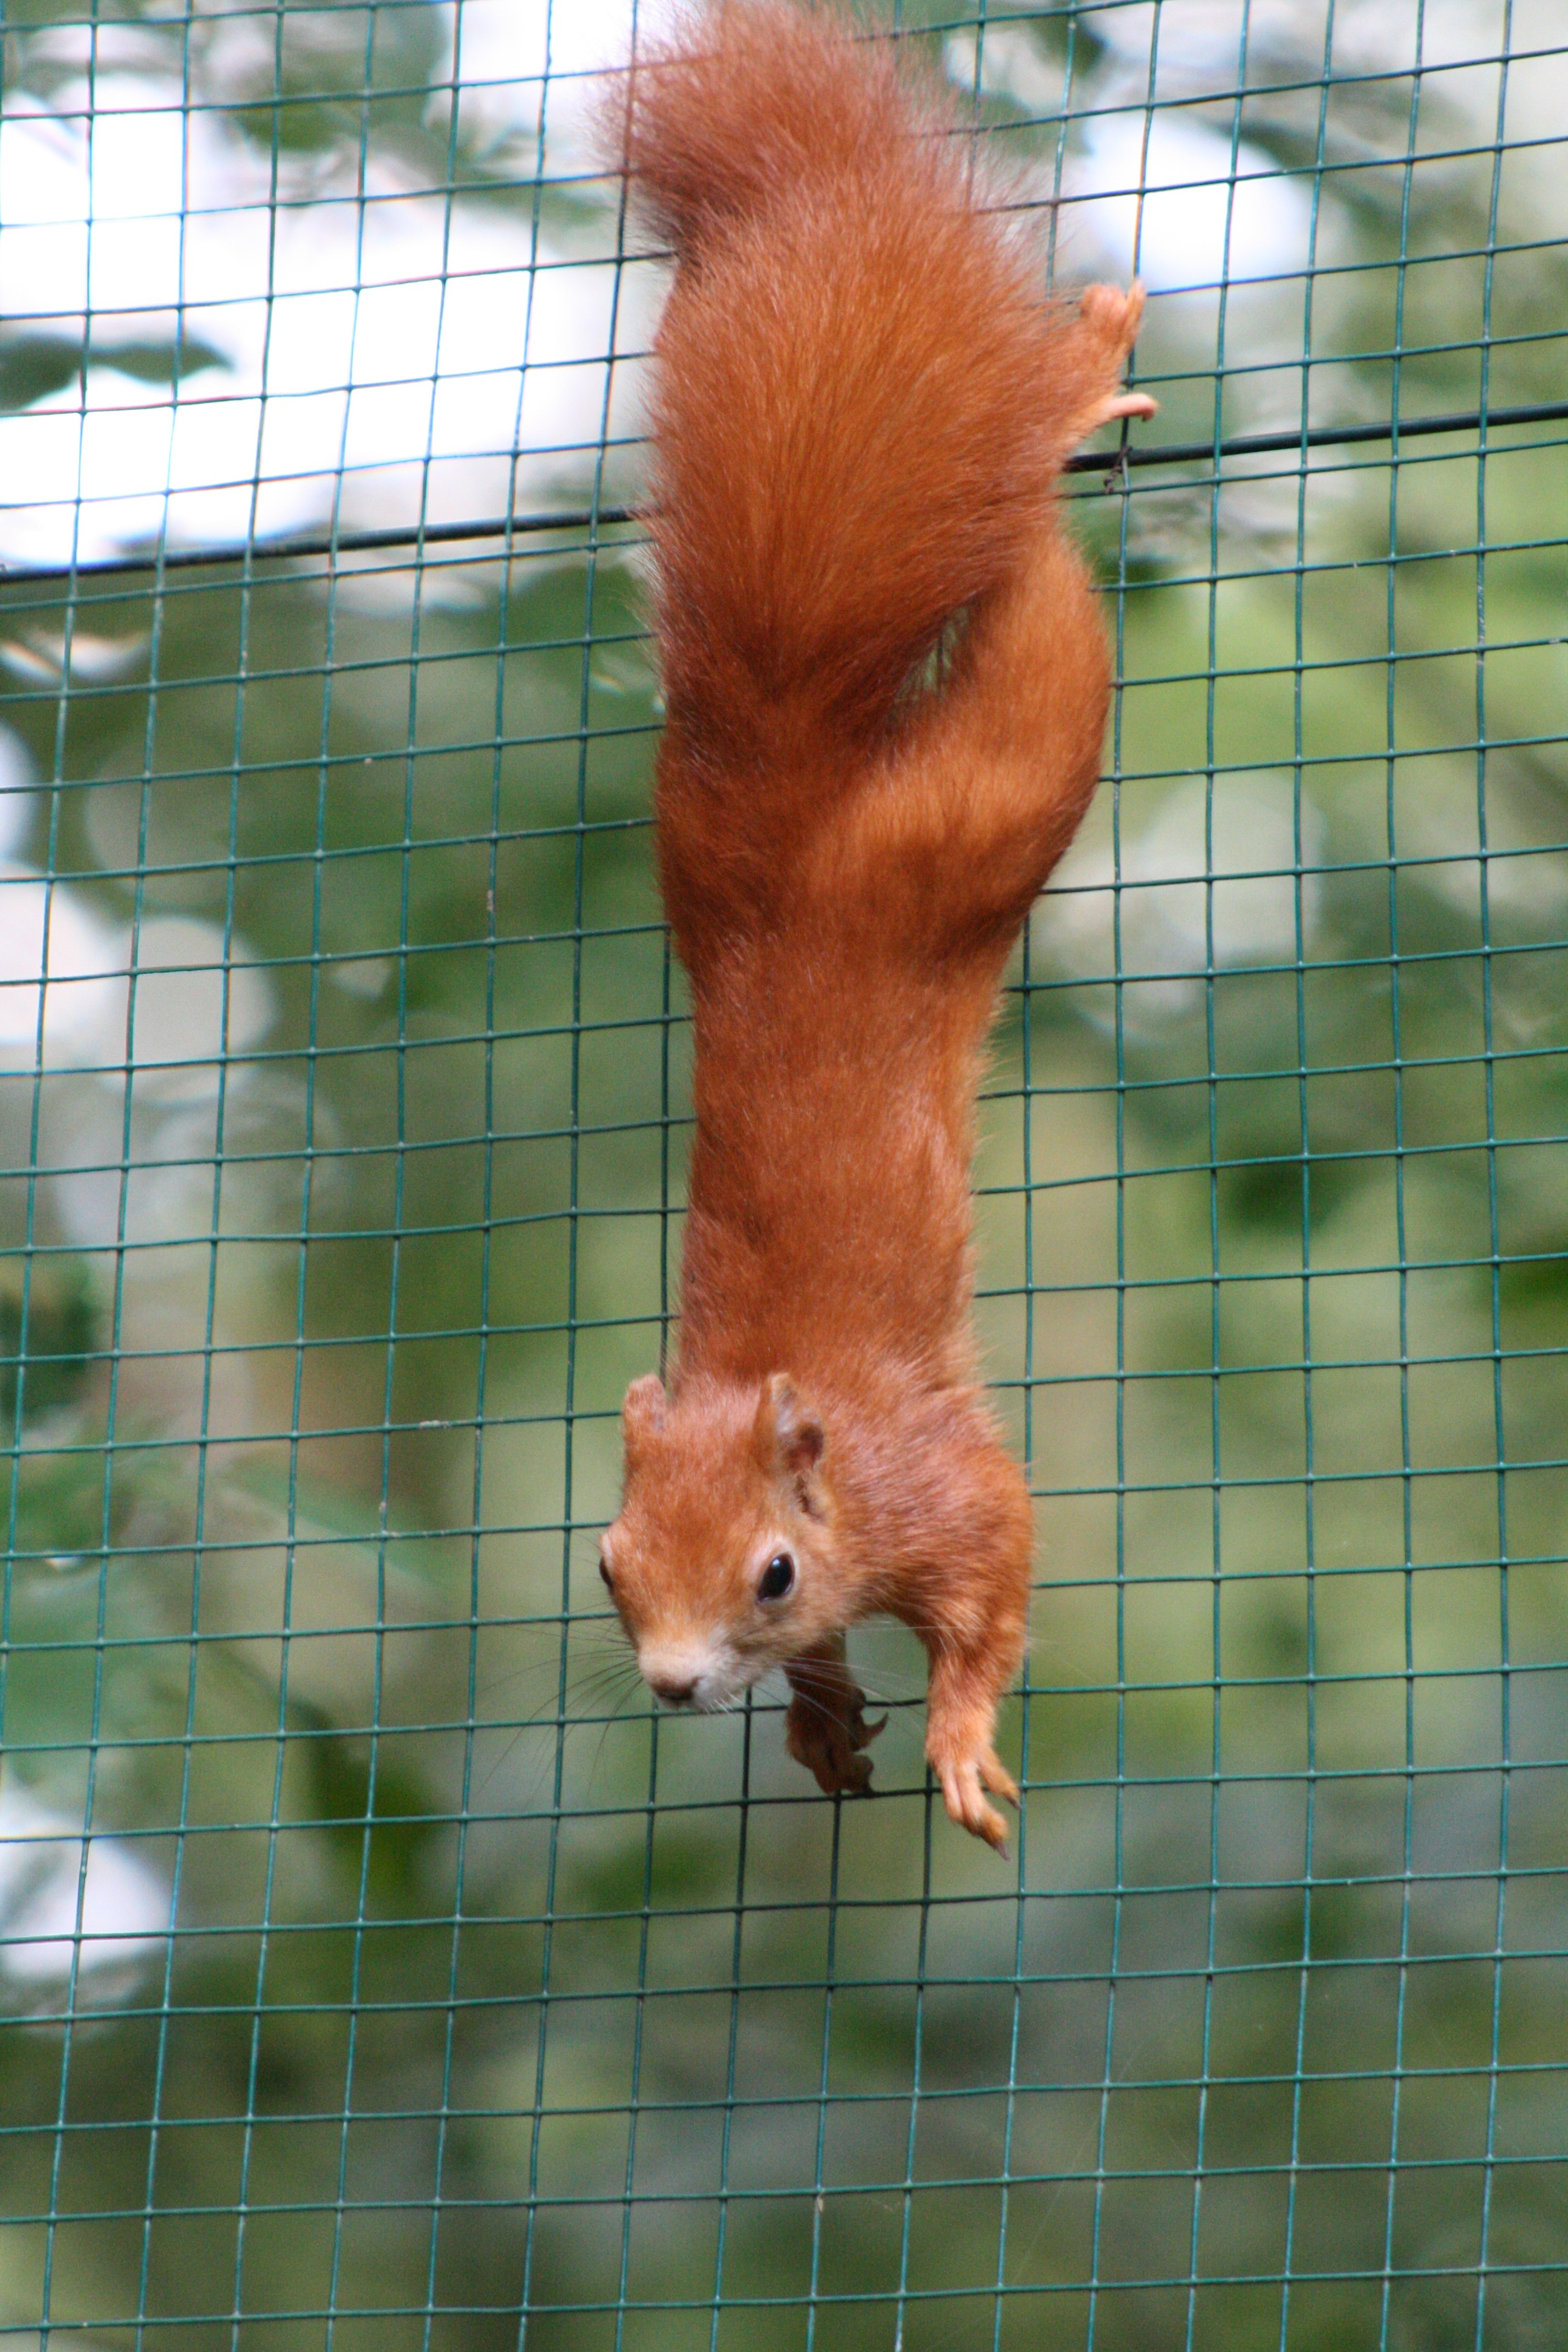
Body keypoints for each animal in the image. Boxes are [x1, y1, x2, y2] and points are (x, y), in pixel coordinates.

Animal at [597, 0, 1152, 1844]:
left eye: (772, 1570)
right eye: (609, 1564)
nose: (674, 1684)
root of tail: (788, 804)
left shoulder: (942, 1482)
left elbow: (998, 1576)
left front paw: (955, 1734)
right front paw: (824, 1717)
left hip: (998, 785)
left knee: (1040, 581)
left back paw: (1070, 388)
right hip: (701, 848)